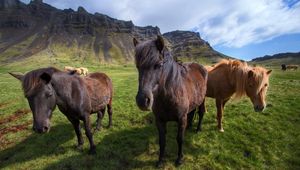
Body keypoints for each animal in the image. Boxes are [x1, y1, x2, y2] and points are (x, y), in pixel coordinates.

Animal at [132, 35, 207, 166]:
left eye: (158, 65)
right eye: (138, 67)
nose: (142, 101)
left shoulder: (181, 118)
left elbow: (180, 139)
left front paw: (179, 159)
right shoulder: (160, 120)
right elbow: (162, 141)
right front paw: (160, 160)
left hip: (202, 100)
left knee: (201, 112)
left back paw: (198, 129)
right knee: (192, 112)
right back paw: (189, 127)